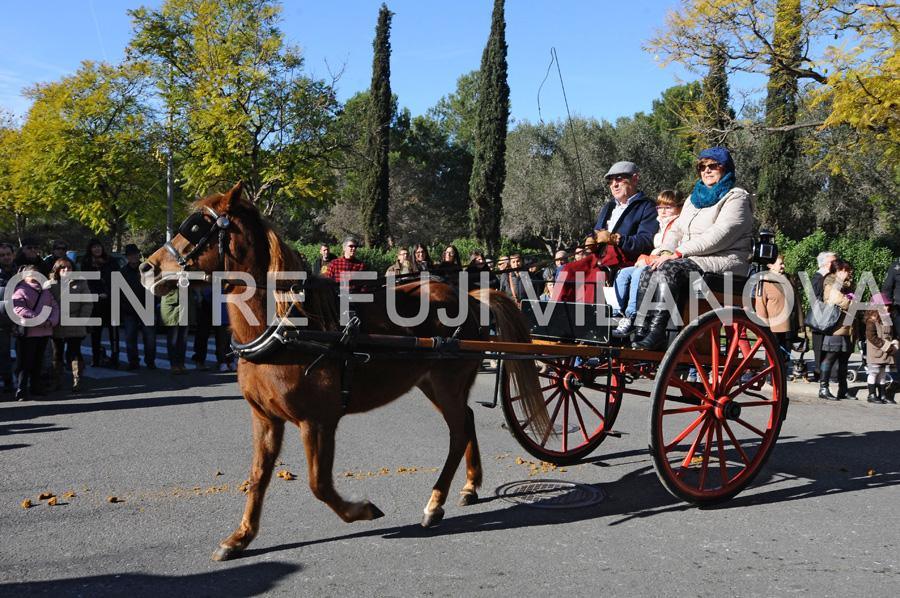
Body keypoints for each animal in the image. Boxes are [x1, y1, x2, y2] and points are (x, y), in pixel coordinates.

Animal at [140, 182, 548, 564]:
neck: (288, 326)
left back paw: (435, 503)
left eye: (196, 227)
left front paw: (361, 510)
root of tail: (468, 296)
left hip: (447, 383)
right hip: (432, 384)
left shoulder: (318, 421)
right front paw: (240, 537)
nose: (147, 268)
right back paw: (469, 486)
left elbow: (318, 483)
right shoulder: (265, 418)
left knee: (458, 431)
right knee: (466, 421)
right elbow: (257, 477)